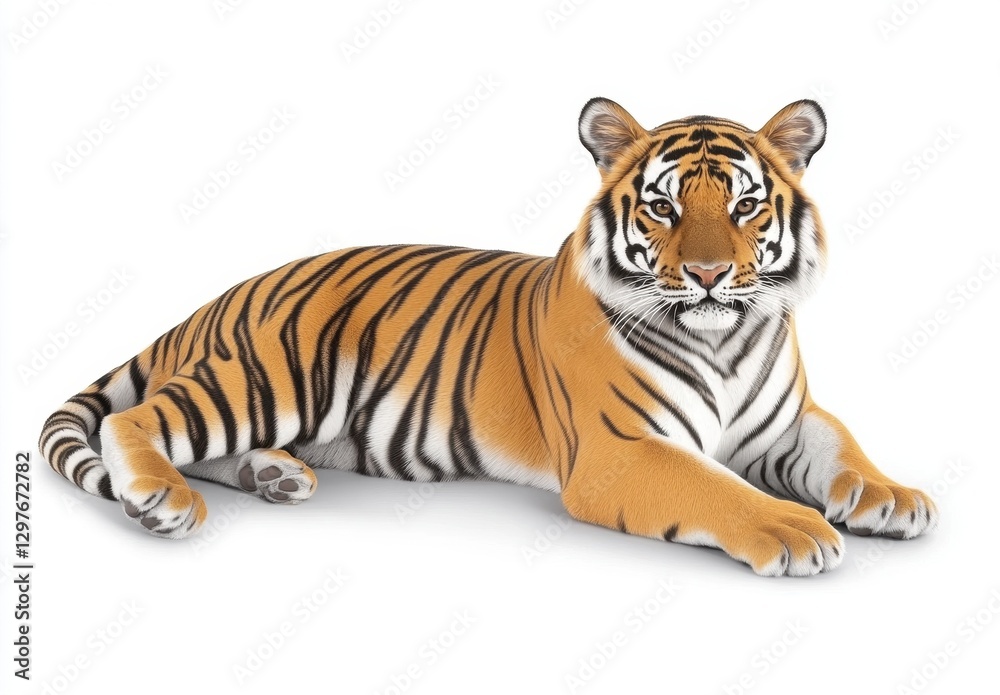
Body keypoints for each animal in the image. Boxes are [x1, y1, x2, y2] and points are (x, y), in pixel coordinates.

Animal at [39, 97, 938, 576]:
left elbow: (840, 441)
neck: (725, 338)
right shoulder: (620, 450)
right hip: (274, 374)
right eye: (663, 207)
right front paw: (794, 528)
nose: (713, 274)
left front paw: (892, 497)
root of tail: (214, 298)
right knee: (140, 419)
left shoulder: (785, 423)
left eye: (747, 207)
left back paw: (274, 476)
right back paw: (162, 497)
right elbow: (715, 486)